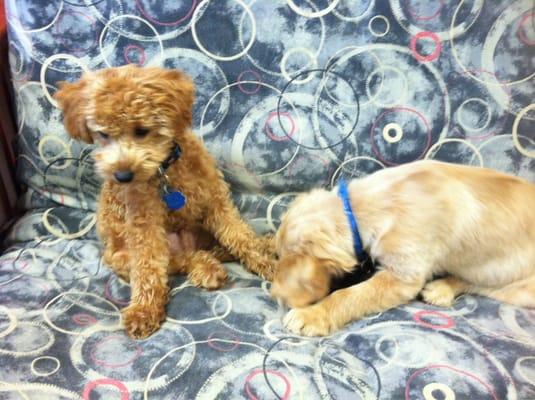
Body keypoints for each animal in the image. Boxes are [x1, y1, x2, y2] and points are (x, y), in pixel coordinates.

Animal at [55, 65, 276, 338]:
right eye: (103, 134)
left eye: (142, 130)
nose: (123, 176)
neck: (165, 170)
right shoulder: (143, 222)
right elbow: (148, 267)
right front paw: (144, 311)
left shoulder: (216, 200)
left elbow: (241, 237)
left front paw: (268, 263)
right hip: (121, 257)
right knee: (179, 261)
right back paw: (207, 269)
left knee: (218, 245)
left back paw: (263, 244)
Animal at [272, 161, 535, 336]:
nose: (275, 294)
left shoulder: (403, 276)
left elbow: (350, 295)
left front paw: (312, 315)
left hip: (518, 286)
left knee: (480, 284)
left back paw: (442, 289)